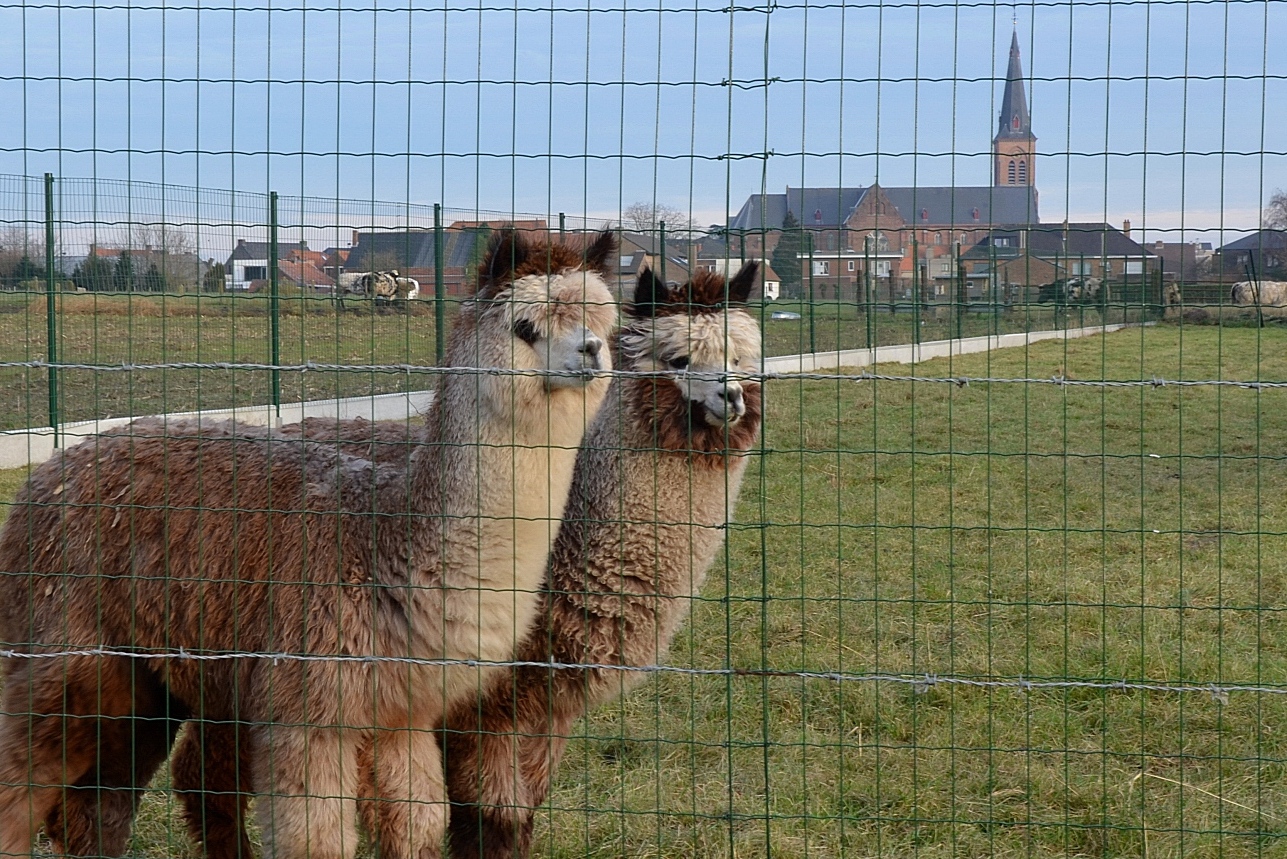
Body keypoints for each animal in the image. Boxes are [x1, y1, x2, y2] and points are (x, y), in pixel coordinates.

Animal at [0, 228, 619, 859]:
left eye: (604, 320)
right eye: (525, 325)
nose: (591, 352)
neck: (384, 547)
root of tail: (48, 472)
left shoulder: (400, 716)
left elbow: (419, 825)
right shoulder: (305, 707)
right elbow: (316, 841)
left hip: (146, 674)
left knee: (97, 804)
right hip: (65, 647)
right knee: (22, 778)